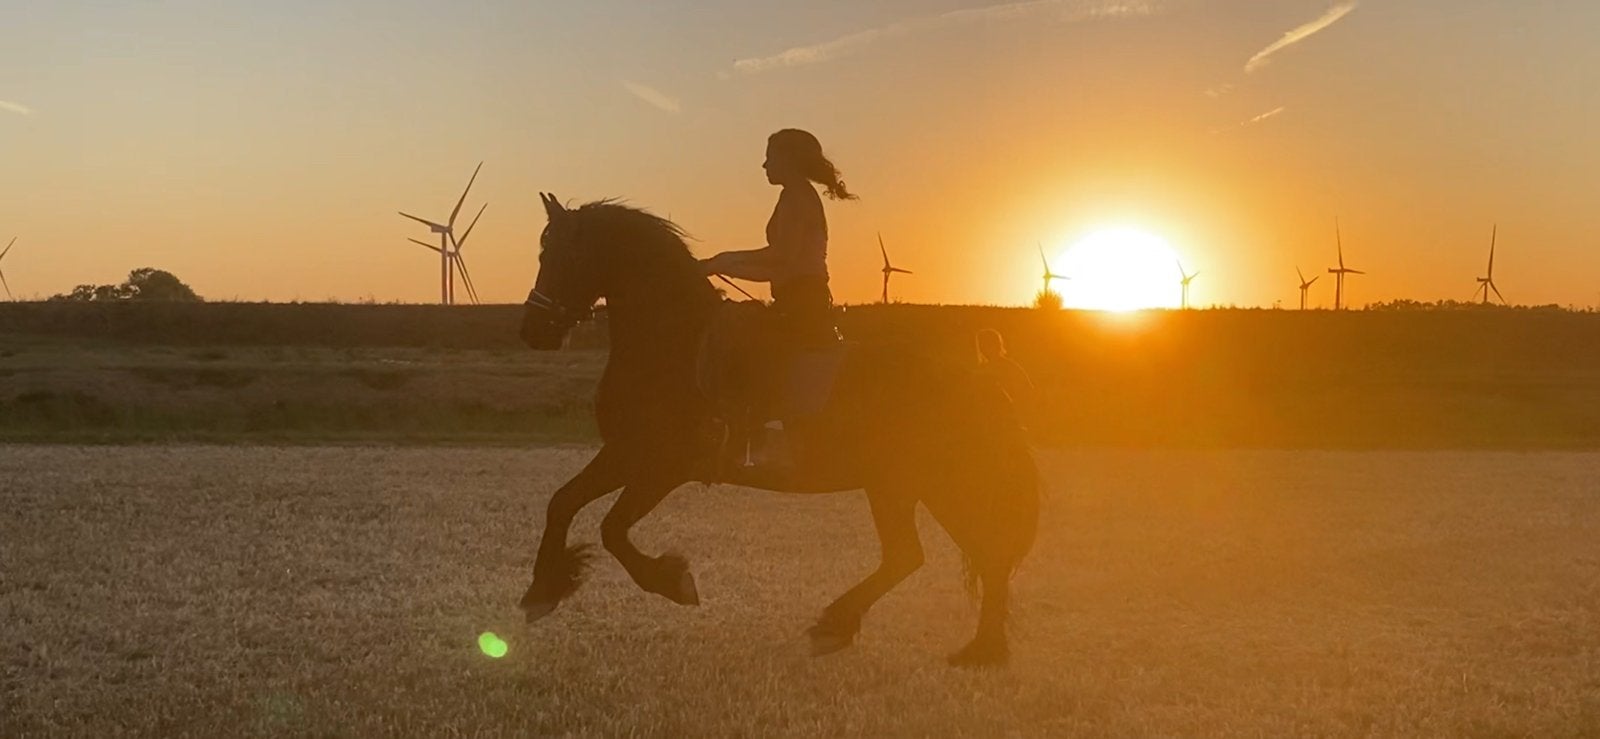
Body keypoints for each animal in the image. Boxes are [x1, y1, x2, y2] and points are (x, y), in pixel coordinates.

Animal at [518, 193, 1039, 666]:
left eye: (561, 256)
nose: (532, 331)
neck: (672, 346)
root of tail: (978, 379)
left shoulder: (661, 468)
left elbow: (611, 529)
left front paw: (673, 581)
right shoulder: (624, 454)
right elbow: (562, 502)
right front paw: (542, 591)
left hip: (921, 484)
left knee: (956, 554)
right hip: (910, 486)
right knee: (932, 555)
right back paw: (942, 642)